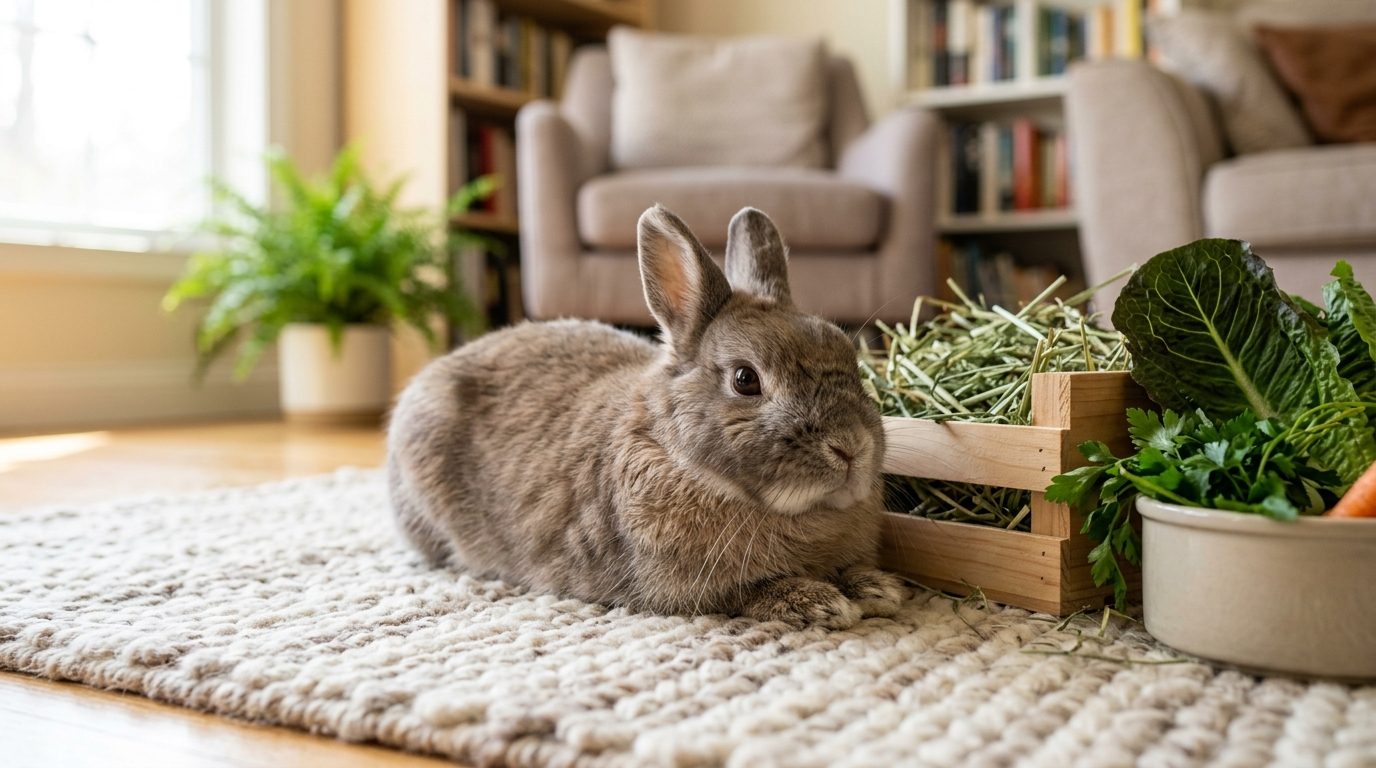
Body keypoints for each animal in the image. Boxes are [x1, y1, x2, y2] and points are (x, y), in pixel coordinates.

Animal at [386, 205, 906, 628]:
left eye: (850, 357)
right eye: (745, 379)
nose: (852, 447)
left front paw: (878, 588)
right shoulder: (684, 586)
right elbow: (748, 592)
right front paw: (821, 602)